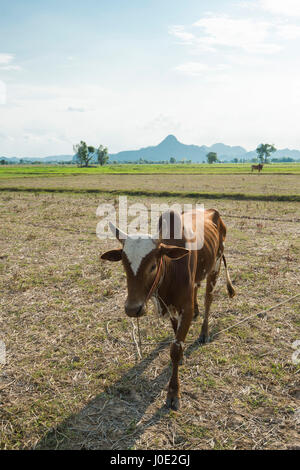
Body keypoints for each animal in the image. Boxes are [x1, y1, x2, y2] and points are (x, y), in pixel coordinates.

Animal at [102, 208, 236, 408]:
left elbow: (175, 349)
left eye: (153, 266)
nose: (132, 309)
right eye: (124, 266)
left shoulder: (184, 309)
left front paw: (173, 391)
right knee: (197, 288)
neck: (171, 270)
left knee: (208, 300)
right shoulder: (172, 307)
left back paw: (204, 332)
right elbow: (175, 333)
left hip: (216, 266)